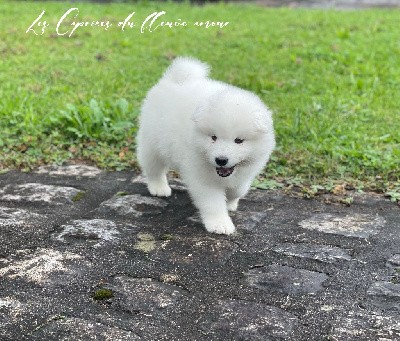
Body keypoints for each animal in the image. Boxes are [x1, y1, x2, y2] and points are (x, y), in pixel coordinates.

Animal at [137, 57, 276, 234]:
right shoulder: (202, 176)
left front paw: (231, 202)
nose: (221, 160)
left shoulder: (246, 173)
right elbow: (213, 202)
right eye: (213, 137)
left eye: (239, 140)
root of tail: (173, 78)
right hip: (152, 143)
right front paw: (220, 224)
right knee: (153, 168)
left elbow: (238, 189)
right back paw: (159, 187)